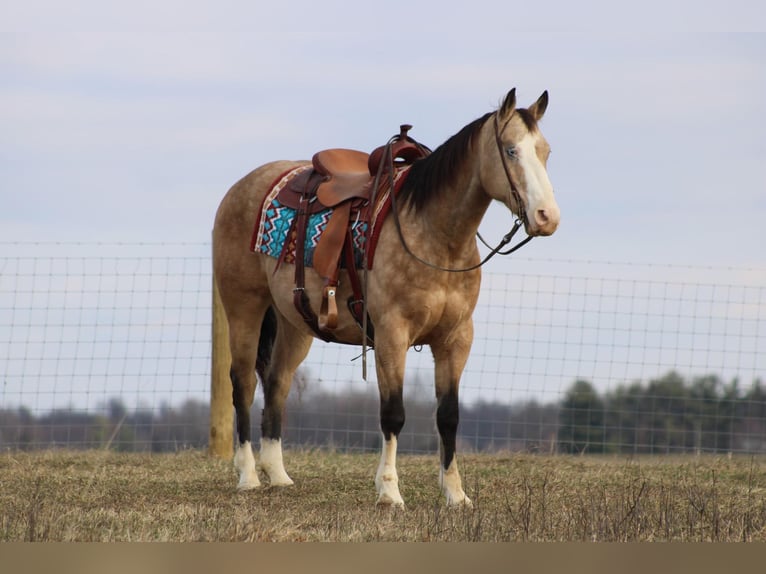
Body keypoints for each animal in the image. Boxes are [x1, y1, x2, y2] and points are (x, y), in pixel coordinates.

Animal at [213, 89, 560, 508]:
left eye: (545, 150)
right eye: (511, 150)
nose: (547, 217)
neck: (434, 235)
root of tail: (242, 186)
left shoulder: (456, 338)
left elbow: (448, 416)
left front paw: (455, 493)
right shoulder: (392, 335)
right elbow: (393, 413)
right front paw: (390, 491)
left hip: (294, 323)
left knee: (277, 383)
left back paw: (277, 474)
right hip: (244, 307)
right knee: (244, 383)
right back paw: (248, 475)